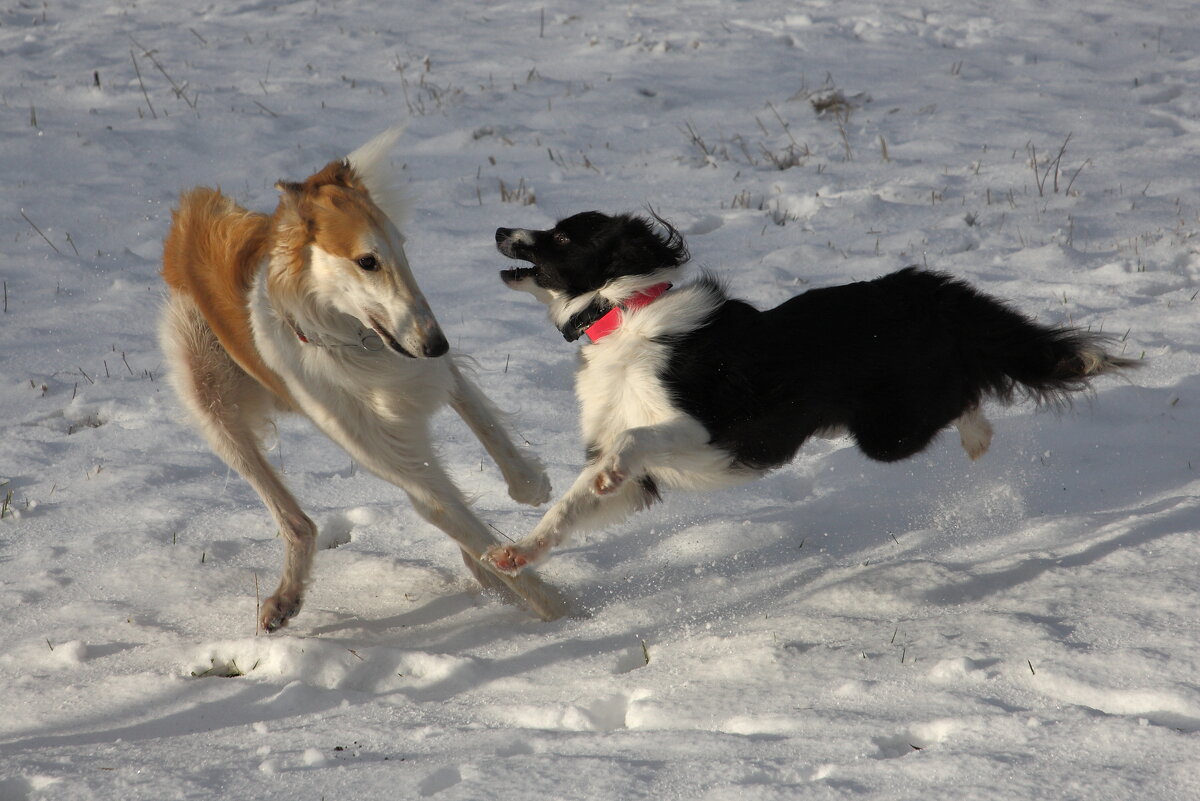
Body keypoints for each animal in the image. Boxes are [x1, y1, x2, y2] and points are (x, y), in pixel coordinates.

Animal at [159, 128, 566, 633]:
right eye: (367, 261)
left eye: (403, 248)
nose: (438, 344)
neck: (356, 343)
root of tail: (190, 212)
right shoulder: (397, 456)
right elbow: (463, 525)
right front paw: (570, 614)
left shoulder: (427, 370)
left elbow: (491, 434)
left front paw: (531, 486)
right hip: (208, 401)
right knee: (298, 521)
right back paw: (285, 597)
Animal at [480, 209, 1132, 573]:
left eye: (563, 238)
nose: (500, 230)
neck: (622, 313)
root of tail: (929, 289)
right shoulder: (643, 479)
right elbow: (571, 504)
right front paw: (519, 553)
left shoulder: (705, 429)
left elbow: (633, 440)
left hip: (889, 431)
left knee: (968, 392)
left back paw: (978, 436)